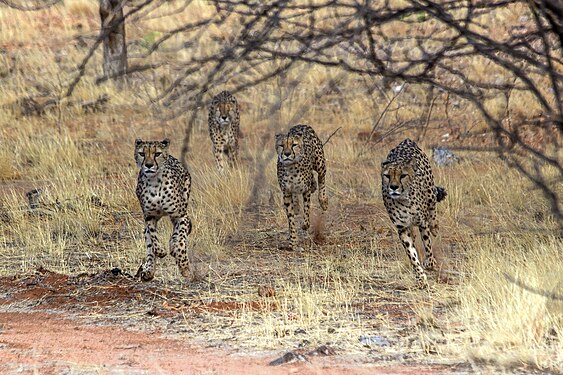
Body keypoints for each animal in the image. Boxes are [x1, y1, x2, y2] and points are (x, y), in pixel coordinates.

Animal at [135, 138, 194, 282]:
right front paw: (161, 251)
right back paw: (148, 271)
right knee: (149, 243)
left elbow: (181, 240)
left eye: (157, 154)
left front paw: (184, 267)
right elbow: (153, 237)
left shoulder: (181, 215)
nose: (149, 165)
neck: (154, 182)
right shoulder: (149, 216)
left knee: (179, 233)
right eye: (142, 154)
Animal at [382, 139, 448, 288]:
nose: (393, 187)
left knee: (433, 208)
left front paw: (430, 263)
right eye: (387, 176)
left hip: (430, 192)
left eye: (403, 175)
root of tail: (406, 140)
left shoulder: (422, 223)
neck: (403, 200)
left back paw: (435, 226)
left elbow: (427, 244)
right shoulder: (402, 228)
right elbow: (412, 254)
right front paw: (420, 278)